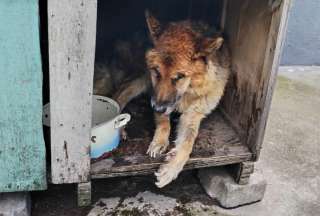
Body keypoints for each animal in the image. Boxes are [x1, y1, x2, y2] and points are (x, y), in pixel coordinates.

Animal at [112, 11, 230, 188]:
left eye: (179, 77)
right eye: (156, 72)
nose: (157, 108)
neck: (188, 91)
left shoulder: (192, 115)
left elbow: (188, 142)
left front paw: (171, 168)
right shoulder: (155, 95)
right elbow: (163, 123)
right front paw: (159, 142)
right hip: (141, 78)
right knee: (118, 94)